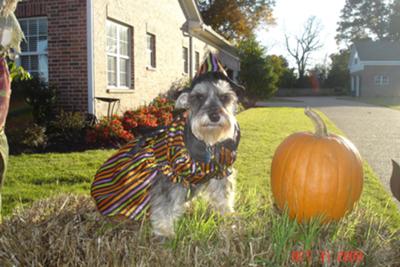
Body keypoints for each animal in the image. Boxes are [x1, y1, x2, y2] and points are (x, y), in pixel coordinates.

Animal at [148, 72, 239, 238]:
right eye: (199, 97)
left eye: (224, 97)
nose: (214, 116)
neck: (207, 143)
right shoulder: (170, 176)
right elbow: (164, 204)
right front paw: (164, 230)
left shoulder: (221, 172)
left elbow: (223, 195)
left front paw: (227, 215)